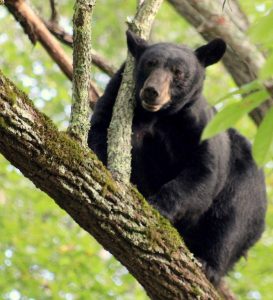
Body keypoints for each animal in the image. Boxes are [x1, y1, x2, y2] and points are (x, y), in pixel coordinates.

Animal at [88, 31, 266, 286]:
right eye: (150, 63)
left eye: (178, 72)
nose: (152, 91)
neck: (159, 116)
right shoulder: (115, 94)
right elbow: (100, 131)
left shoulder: (199, 126)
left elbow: (203, 173)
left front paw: (159, 206)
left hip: (249, 191)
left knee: (232, 219)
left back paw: (209, 265)